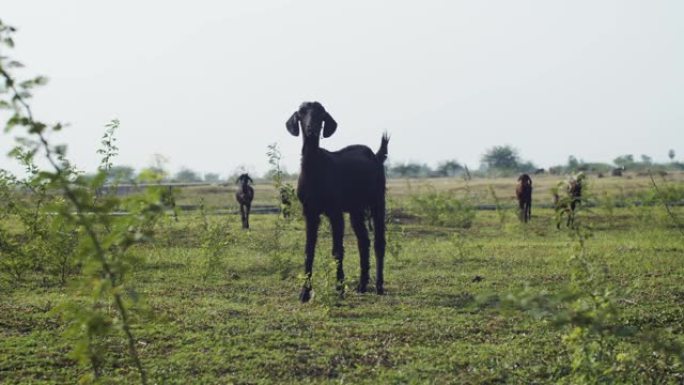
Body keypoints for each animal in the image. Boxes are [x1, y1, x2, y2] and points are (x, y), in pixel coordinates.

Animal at [284, 102, 390, 304]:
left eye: (321, 114)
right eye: (301, 113)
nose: (311, 128)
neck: (315, 168)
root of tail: (376, 156)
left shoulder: (335, 211)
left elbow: (337, 250)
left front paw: (340, 288)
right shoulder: (309, 212)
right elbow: (309, 250)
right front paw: (304, 293)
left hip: (378, 201)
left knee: (379, 241)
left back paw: (379, 286)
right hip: (356, 209)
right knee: (363, 240)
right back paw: (362, 285)